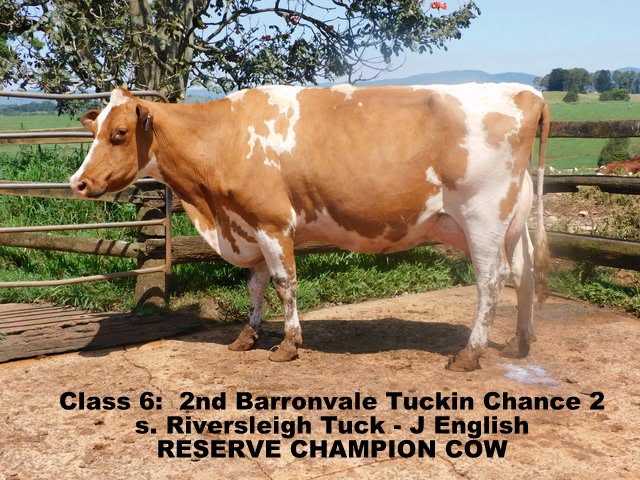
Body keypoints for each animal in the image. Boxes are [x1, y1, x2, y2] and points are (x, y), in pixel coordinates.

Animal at [70, 83, 551, 371]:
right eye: (94, 130)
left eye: (119, 133)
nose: (79, 183)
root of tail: (527, 92)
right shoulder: (248, 222)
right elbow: (255, 284)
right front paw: (247, 336)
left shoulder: (272, 222)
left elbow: (285, 283)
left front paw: (288, 344)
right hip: (512, 220)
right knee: (524, 273)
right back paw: (521, 342)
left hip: (482, 217)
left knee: (492, 280)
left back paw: (469, 354)